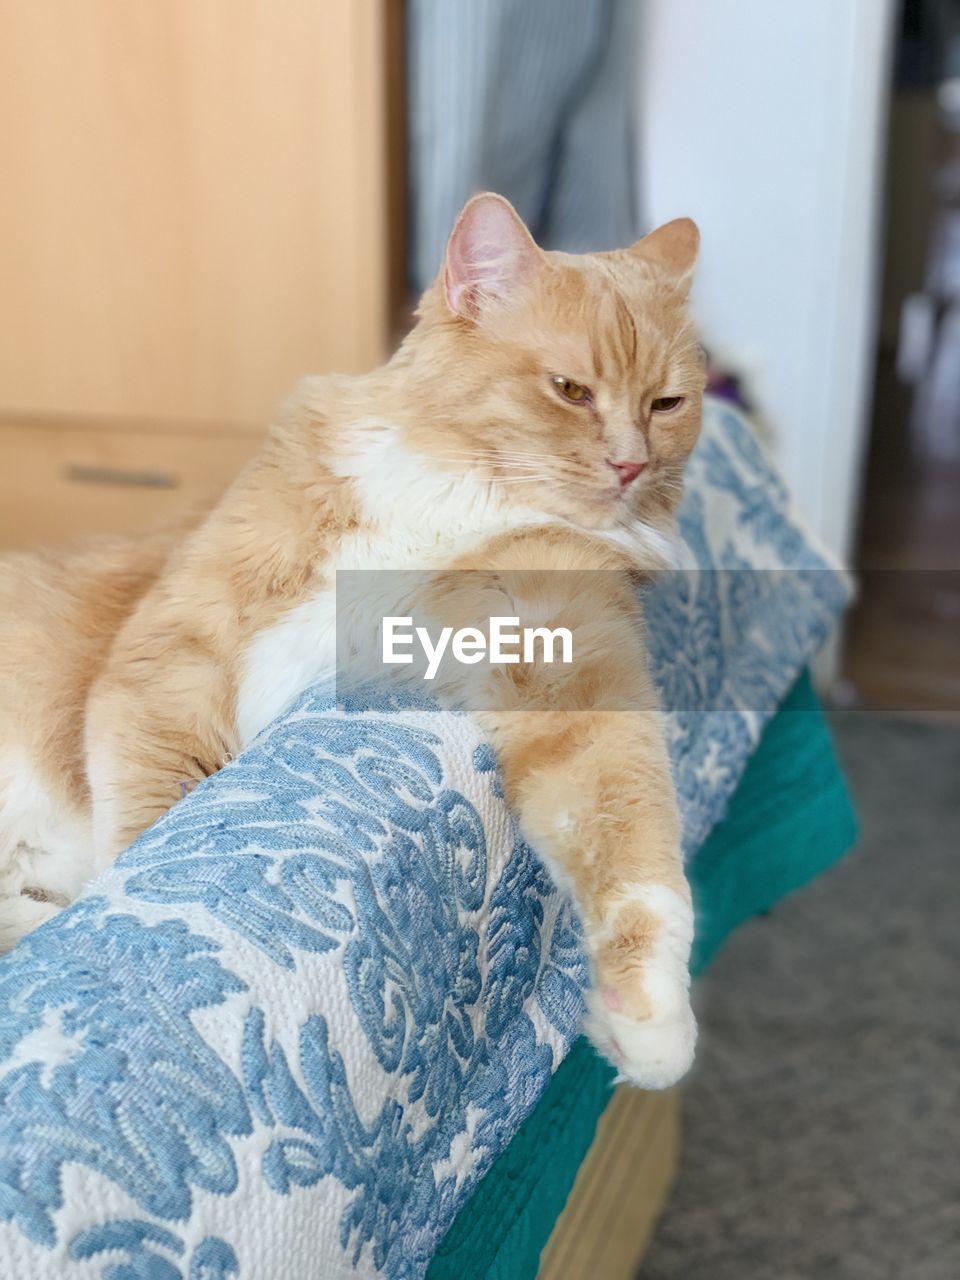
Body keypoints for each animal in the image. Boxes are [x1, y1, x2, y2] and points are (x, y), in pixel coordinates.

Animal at [0, 192, 706, 1090]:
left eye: (667, 405)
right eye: (571, 390)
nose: (631, 466)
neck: (456, 496)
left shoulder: (560, 655)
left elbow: (633, 842)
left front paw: (651, 1017)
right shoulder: (174, 655)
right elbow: (151, 836)